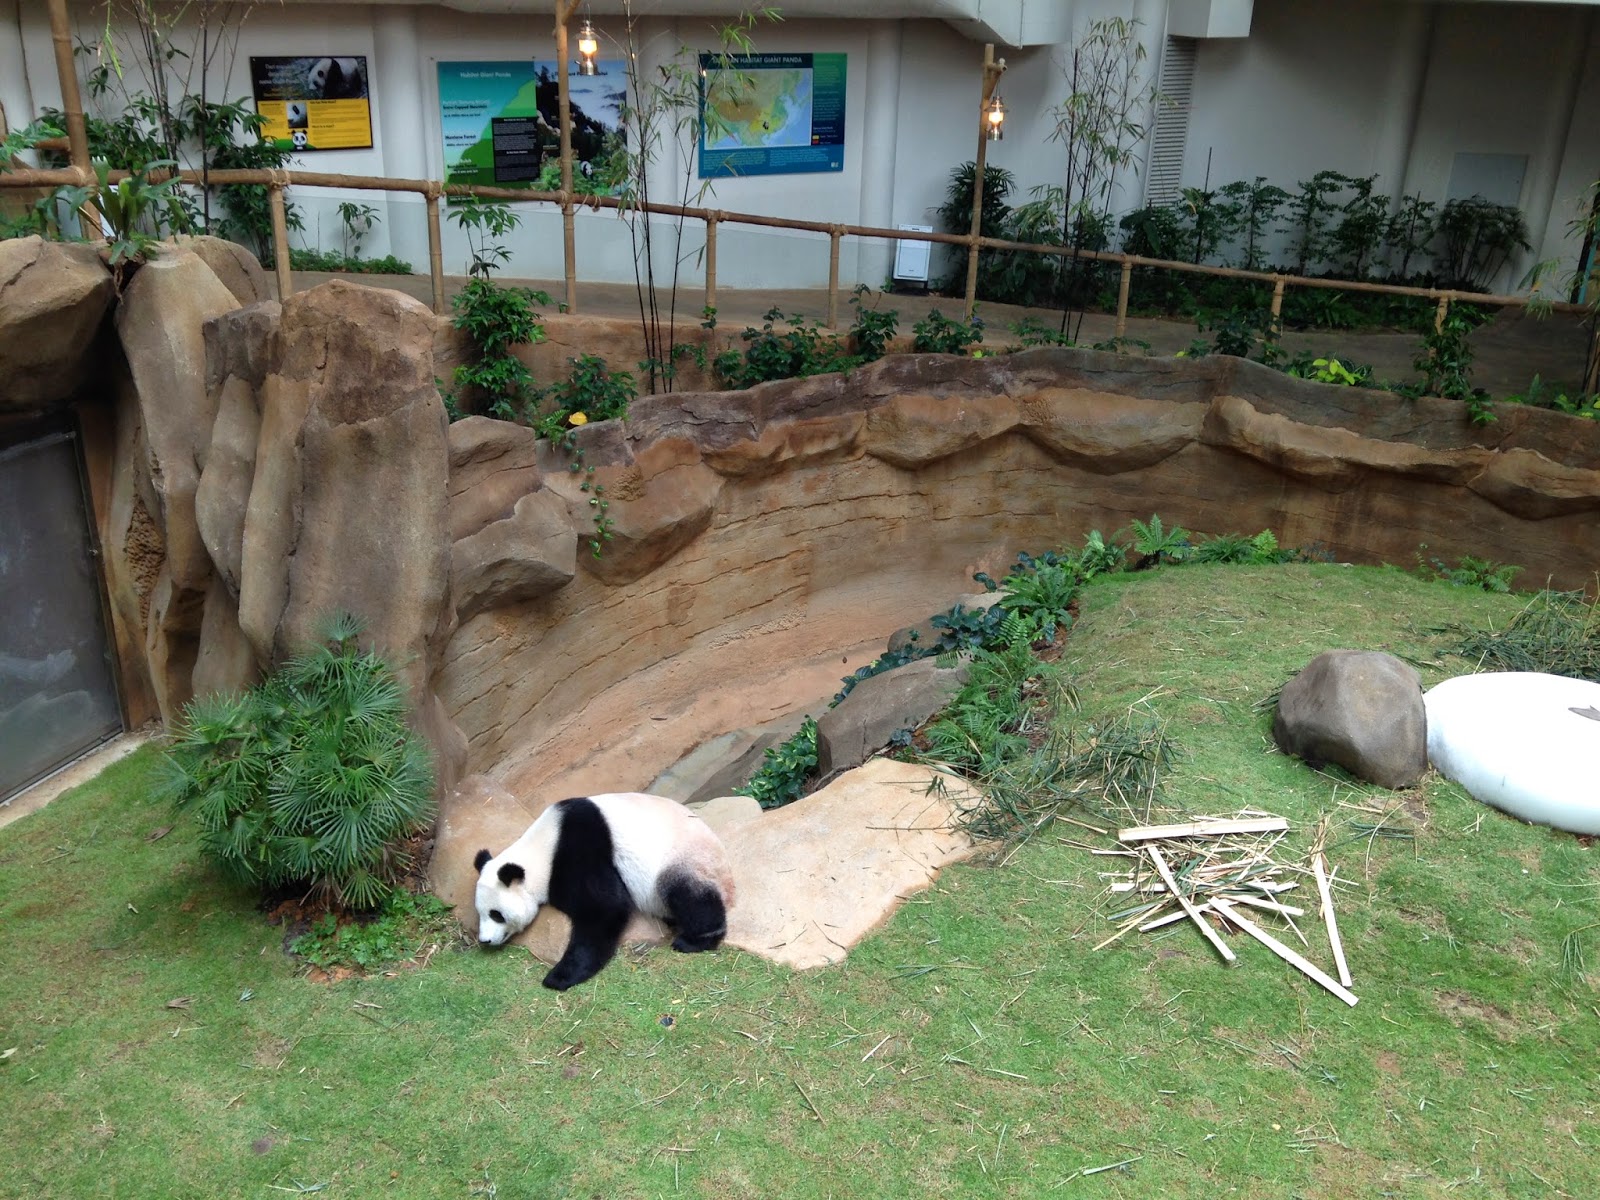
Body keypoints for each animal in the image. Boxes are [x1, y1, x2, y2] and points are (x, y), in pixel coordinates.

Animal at [473, 792, 736, 991]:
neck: (541, 849)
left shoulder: (578, 850)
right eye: (481, 913)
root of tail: (729, 879)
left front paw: (559, 976)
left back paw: (695, 939)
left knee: (689, 896)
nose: (485, 940)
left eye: (496, 914)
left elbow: (605, 908)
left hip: (686, 862)